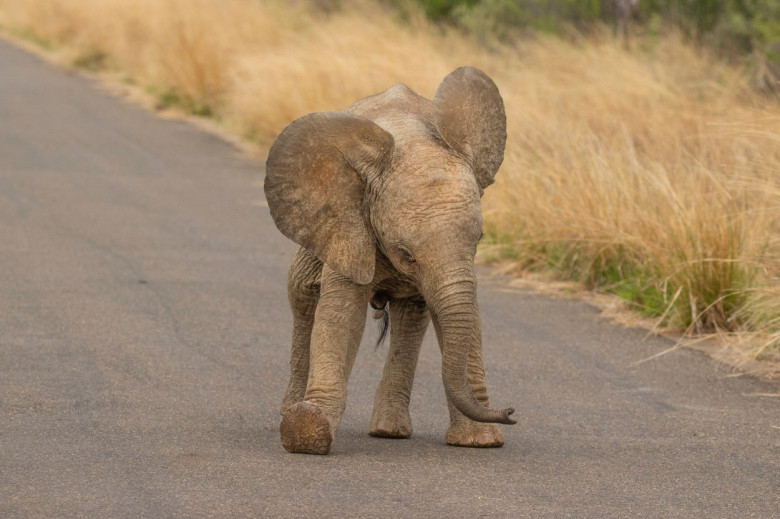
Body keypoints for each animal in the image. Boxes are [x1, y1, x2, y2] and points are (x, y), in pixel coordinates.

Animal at [266, 66, 516, 456]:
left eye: (480, 240)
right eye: (406, 254)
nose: (510, 412)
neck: (413, 141)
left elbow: (465, 317)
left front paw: (481, 442)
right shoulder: (349, 219)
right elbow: (341, 316)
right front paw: (308, 434)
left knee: (411, 316)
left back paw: (389, 431)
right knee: (302, 296)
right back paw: (292, 411)